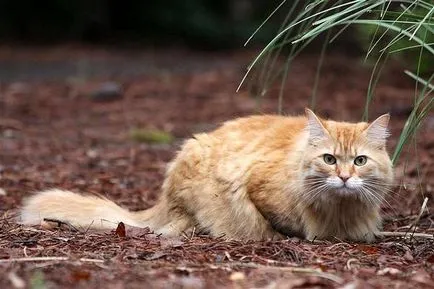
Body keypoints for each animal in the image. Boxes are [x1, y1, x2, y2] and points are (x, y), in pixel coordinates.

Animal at [19, 109, 394, 242]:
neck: (340, 210)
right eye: (329, 159)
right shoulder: (258, 189)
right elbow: (282, 224)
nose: (344, 177)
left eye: (359, 161)